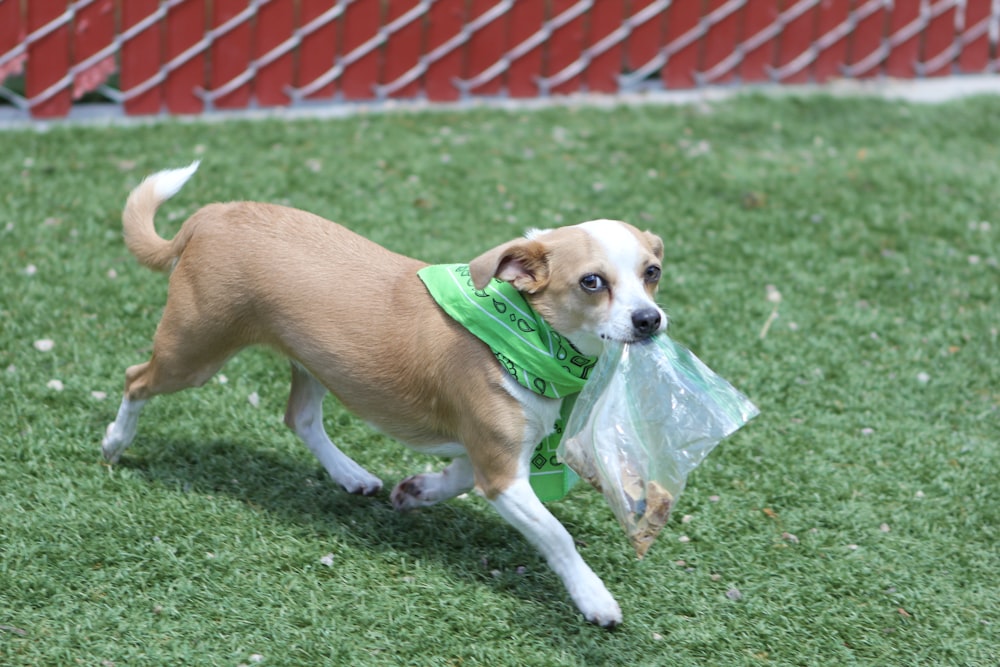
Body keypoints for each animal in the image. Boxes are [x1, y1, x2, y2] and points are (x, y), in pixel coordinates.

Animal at [101, 162, 668, 628]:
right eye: (592, 282)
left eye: (652, 272)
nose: (650, 320)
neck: (531, 339)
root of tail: (210, 215)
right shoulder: (502, 472)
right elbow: (556, 534)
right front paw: (594, 598)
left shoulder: (494, 453)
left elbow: (457, 477)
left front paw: (417, 491)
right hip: (195, 351)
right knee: (135, 379)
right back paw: (114, 443)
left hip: (313, 358)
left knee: (299, 417)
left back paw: (350, 475)